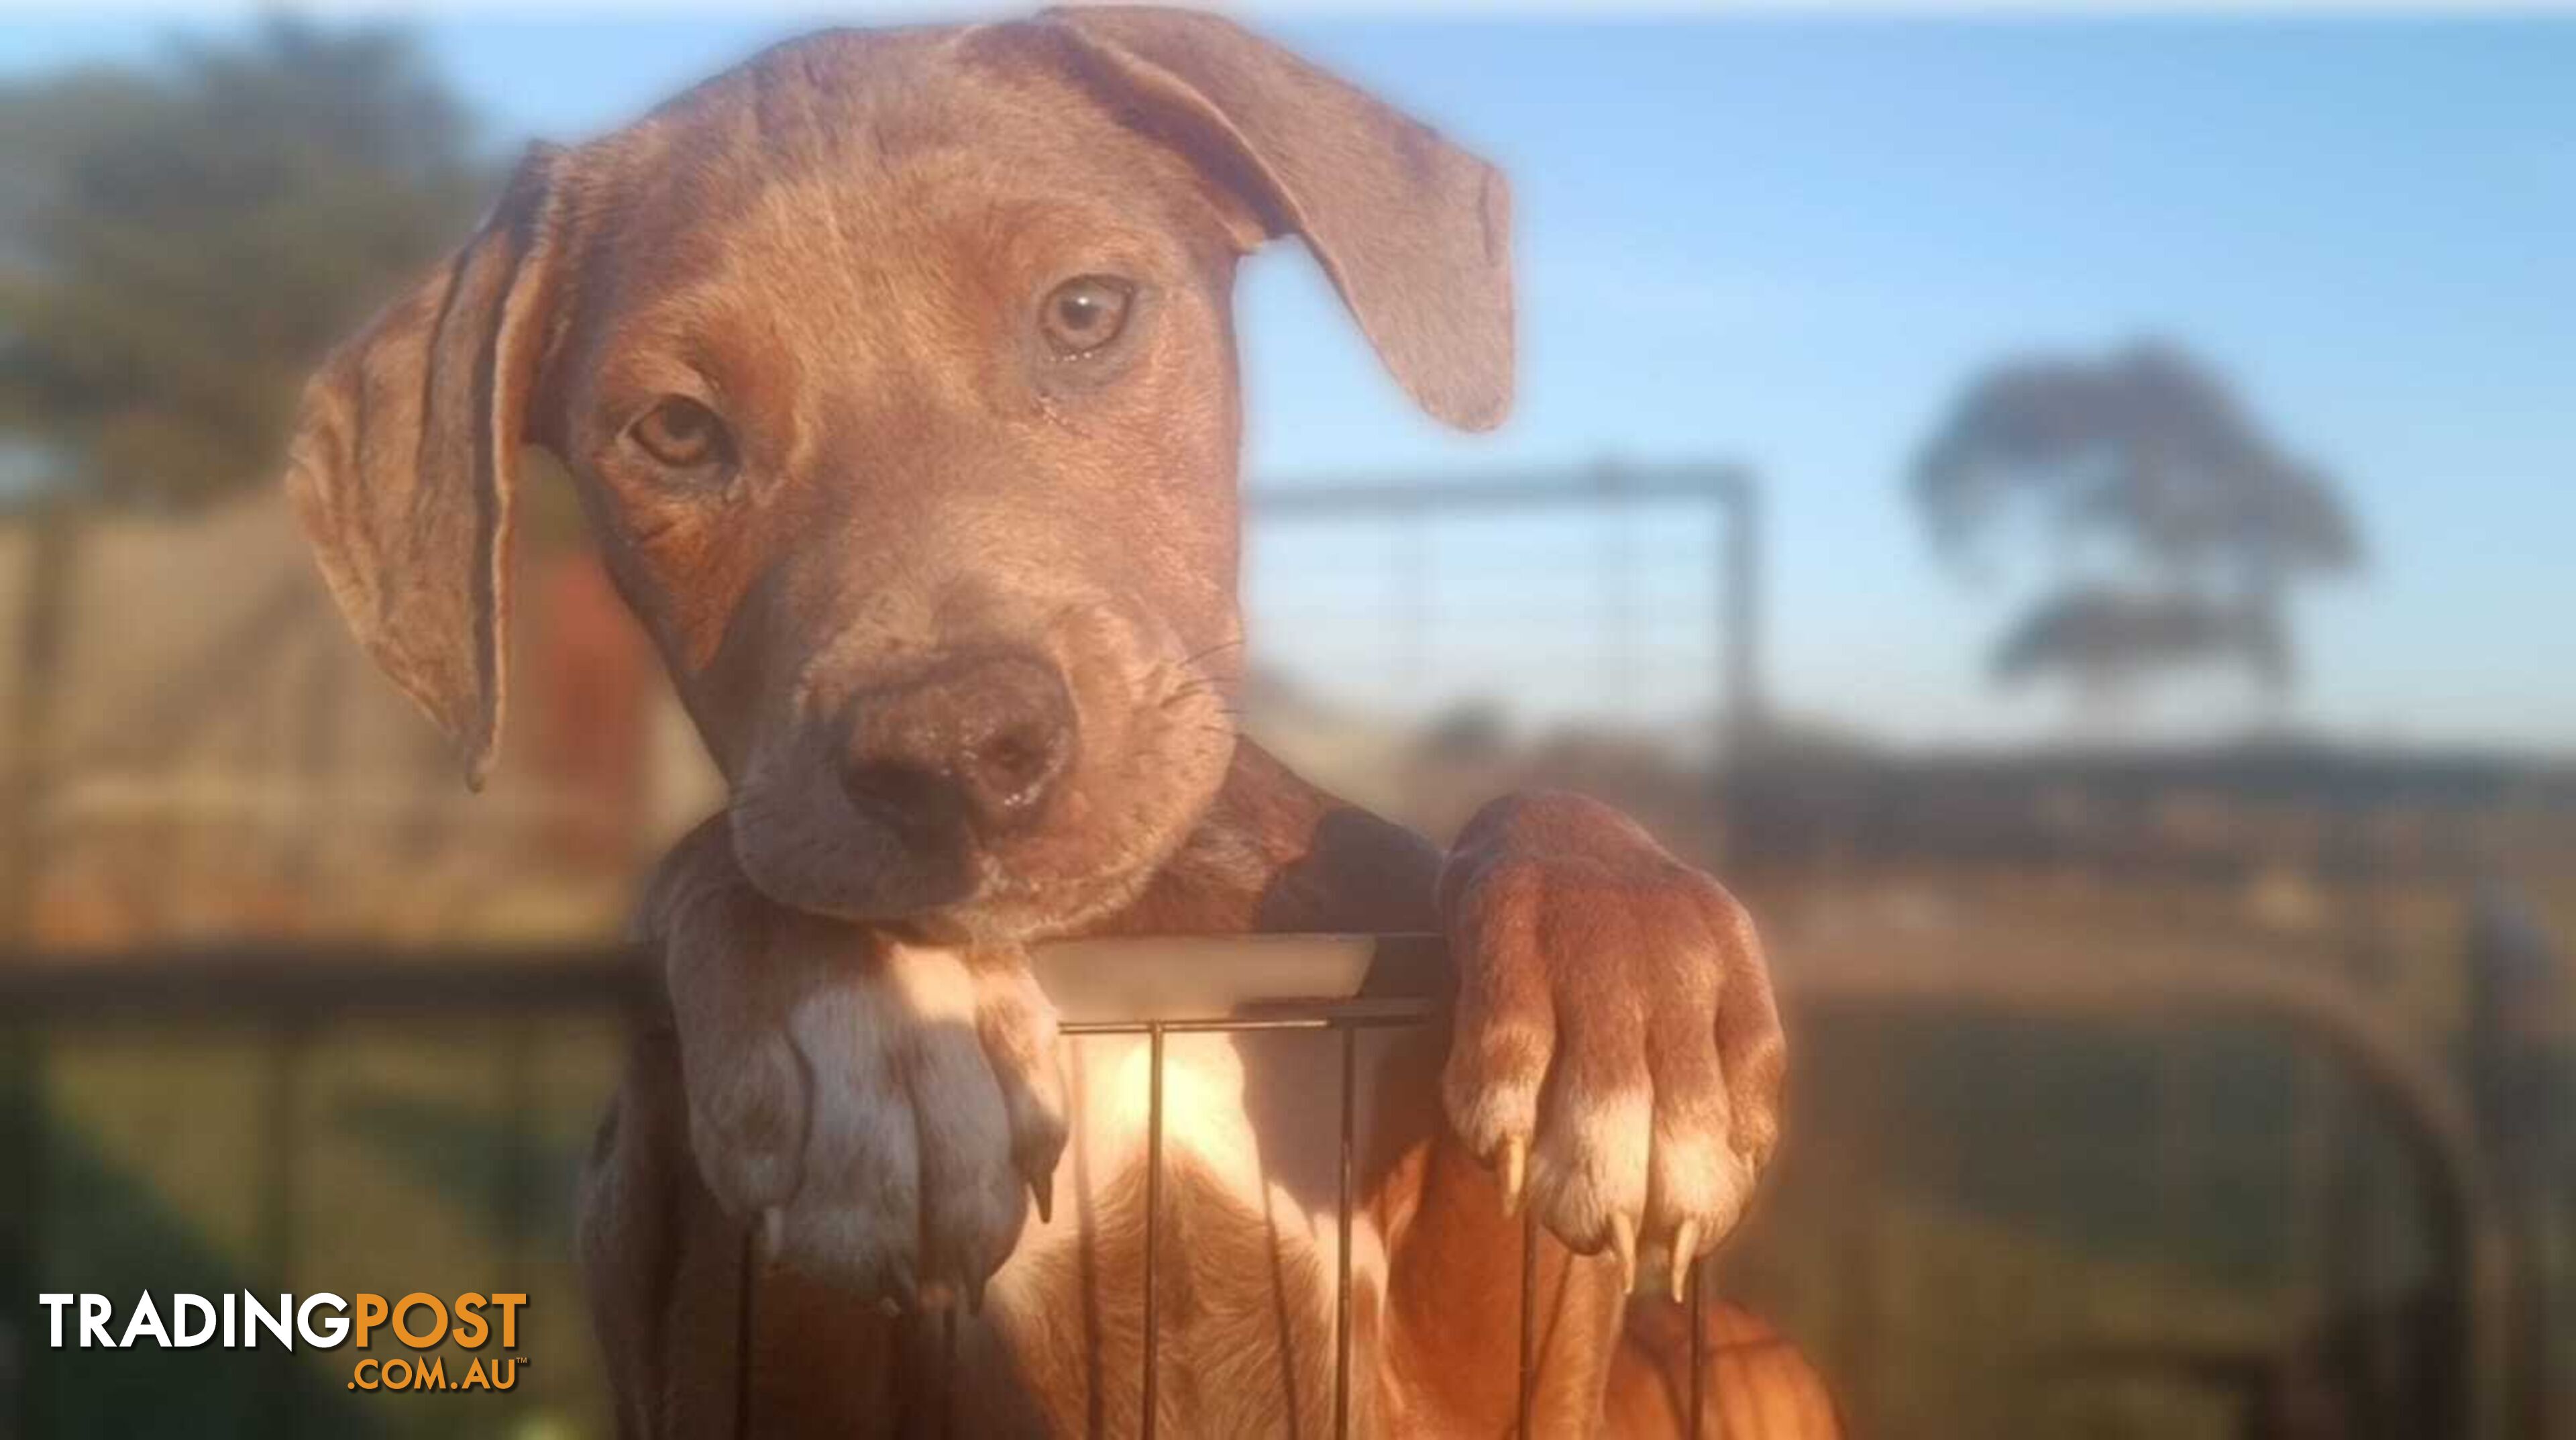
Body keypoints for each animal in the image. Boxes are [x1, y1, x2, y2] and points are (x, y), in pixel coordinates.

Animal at [282, 8, 1834, 1432]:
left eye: (1086, 312)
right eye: (672, 429)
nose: (960, 754)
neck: (1136, 932)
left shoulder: (1497, 1372)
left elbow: (1535, 814)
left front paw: (1636, 1000)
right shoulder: (719, 1343)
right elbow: (734, 860)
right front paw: (857, 1007)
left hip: (1751, 1354)